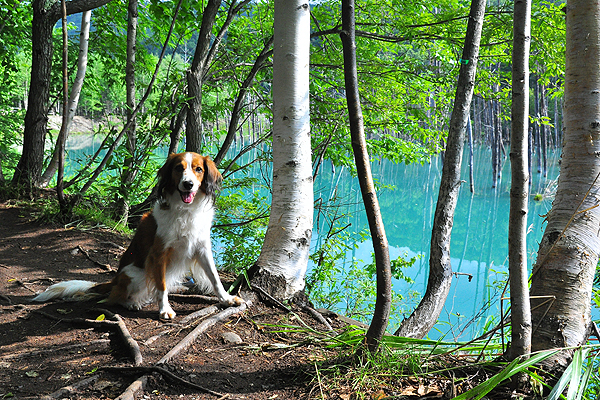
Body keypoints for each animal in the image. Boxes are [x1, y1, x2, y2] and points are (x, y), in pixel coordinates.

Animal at [32, 152, 244, 320]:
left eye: (198, 169)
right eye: (178, 168)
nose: (188, 184)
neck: (186, 211)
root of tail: (114, 281)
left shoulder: (202, 248)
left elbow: (215, 278)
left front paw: (226, 298)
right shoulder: (159, 253)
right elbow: (161, 286)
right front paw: (165, 309)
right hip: (135, 275)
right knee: (115, 297)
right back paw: (131, 302)